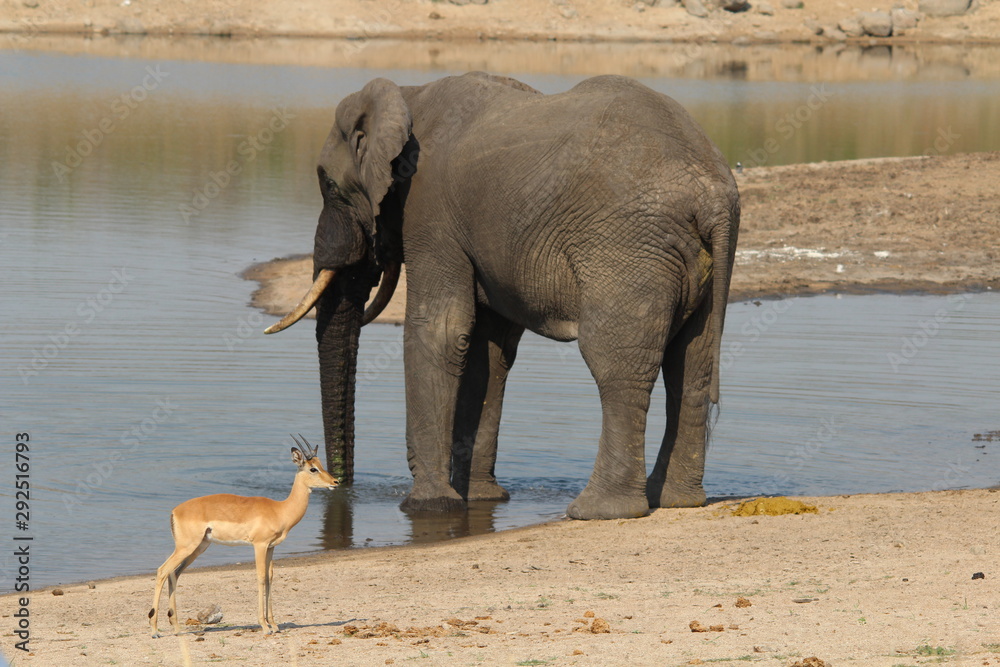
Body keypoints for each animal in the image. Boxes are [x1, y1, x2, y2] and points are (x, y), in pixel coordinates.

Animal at [264, 73, 736, 520]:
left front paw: (428, 506)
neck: (408, 94)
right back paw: (676, 501)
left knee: (614, 362)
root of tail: (711, 192)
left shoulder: (430, 212)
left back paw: (599, 511)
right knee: (691, 364)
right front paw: (478, 499)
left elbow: (440, 331)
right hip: (695, 263)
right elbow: (487, 352)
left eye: (328, 184)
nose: (340, 486)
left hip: (627, 249)